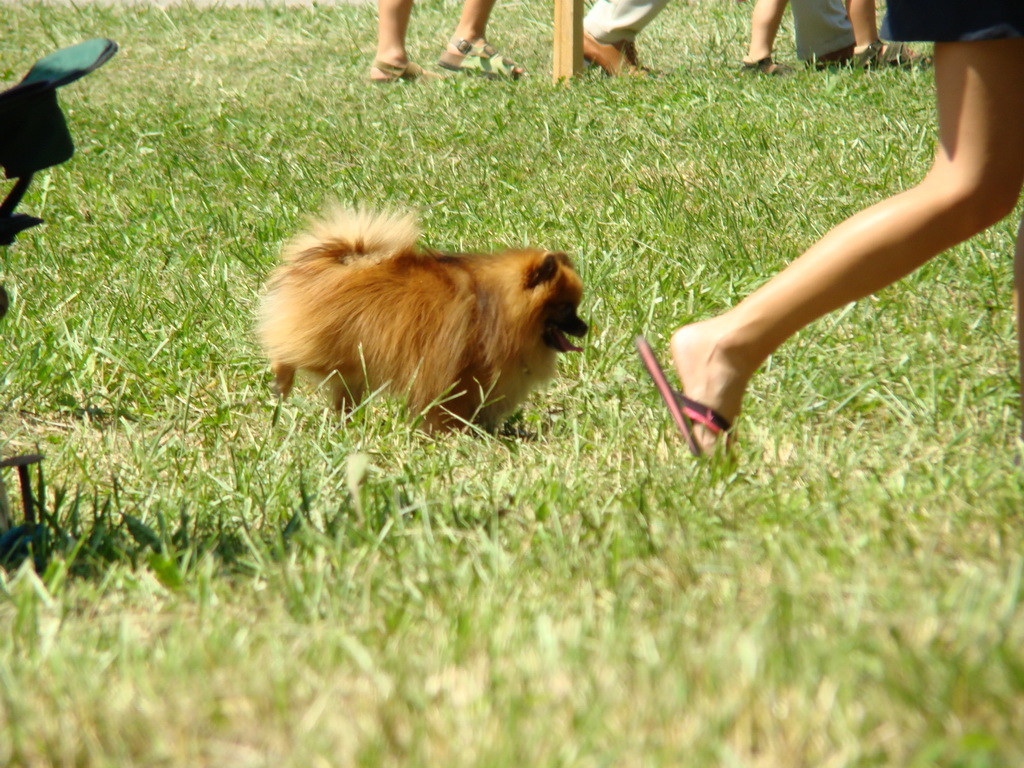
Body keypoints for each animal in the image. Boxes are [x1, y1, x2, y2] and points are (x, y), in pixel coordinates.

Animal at [256, 207, 589, 430]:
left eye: (575, 306)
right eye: (564, 308)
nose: (585, 328)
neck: (497, 306)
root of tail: (339, 259)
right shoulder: (459, 370)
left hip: (350, 362)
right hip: (321, 345)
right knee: (286, 352)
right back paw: (281, 382)